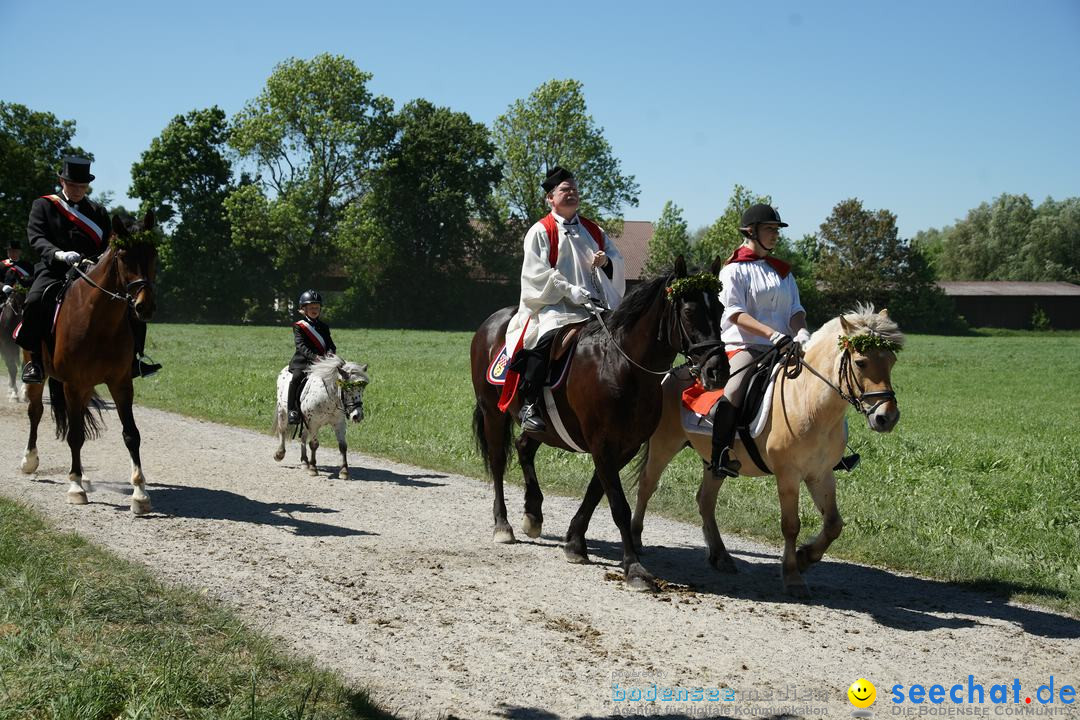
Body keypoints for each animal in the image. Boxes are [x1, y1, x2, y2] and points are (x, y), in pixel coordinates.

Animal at [19, 211, 158, 515]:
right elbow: (74, 436)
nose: (144, 306)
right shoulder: (73, 383)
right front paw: (75, 487)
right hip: (43, 377)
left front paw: (140, 493)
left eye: (153, 253)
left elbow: (131, 434)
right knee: (35, 412)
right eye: (124, 256)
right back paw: (30, 461)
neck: (99, 320)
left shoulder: (121, 383)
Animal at [470, 255, 730, 587]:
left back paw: (533, 514)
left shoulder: (624, 446)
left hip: (543, 428)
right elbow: (618, 505)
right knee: (498, 461)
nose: (717, 370)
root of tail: (492, 323)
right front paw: (633, 567)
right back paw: (503, 525)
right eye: (688, 311)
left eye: (720, 309)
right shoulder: (603, 444)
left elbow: (596, 493)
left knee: (524, 447)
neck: (621, 366)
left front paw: (575, 542)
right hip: (493, 412)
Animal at [630, 304, 902, 595]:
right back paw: (636, 539)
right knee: (647, 485)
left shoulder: (820, 473)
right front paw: (793, 576)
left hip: (714, 461)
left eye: (891, 361)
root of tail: (673, 374)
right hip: (664, 444)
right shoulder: (788, 475)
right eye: (861, 363)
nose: (886, 417)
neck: (808, 401)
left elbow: (833, 524)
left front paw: (805, 558)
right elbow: (791, 525)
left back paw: (721, 556)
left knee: (705, 500)